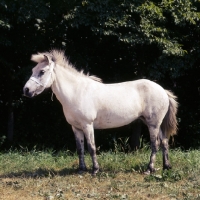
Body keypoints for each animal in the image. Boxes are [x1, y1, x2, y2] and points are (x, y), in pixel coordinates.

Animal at [22, 49, 177, 174]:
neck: (76, 92)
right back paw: (166, 167)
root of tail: (163, 90)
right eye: (32, 70)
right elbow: (80, 149)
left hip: (153, 124)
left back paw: (149, 169)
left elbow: (91, 147)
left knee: (155, 144)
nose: (26, 90)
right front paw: (81, 170)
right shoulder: (76, 128)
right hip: (156, 124)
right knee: (164, 142)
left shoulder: (87, 125)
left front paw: (95, 170)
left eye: (42, 72)